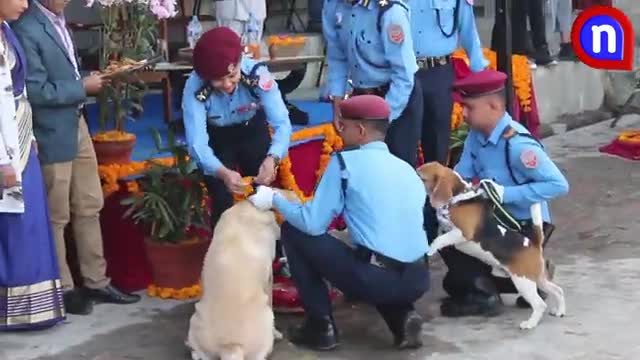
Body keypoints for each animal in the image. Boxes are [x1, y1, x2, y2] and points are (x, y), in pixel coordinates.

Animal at [186, 190, 298, 358]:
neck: (250, 206)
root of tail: (230, 347)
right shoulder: (269, 279)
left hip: (195, 318)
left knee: (197, 352)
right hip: (266, 320)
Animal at [420, 162, 564, 330]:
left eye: (421, 177)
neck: (458, 196)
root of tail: (533, 243)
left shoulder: (462, 233)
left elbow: (440, 239)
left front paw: (430, 249)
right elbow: (441, 233)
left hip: (523, 281)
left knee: (540, 304)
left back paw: (530, 323)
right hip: (537, 279)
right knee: (558, 290)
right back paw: (560, 311)